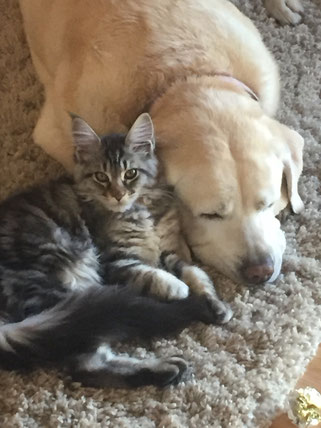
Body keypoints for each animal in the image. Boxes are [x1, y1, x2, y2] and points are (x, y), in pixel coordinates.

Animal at [0, 113, 231, 388]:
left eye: (130, 173)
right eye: (101, 177)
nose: (118, 195)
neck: (140, 210)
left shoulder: (171, 249)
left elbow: (194, 273)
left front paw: (214, 303)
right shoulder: (115, 260)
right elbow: (152, 274)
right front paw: (177, 288)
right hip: (55, 289)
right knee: (84, 363)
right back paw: (166, 366)